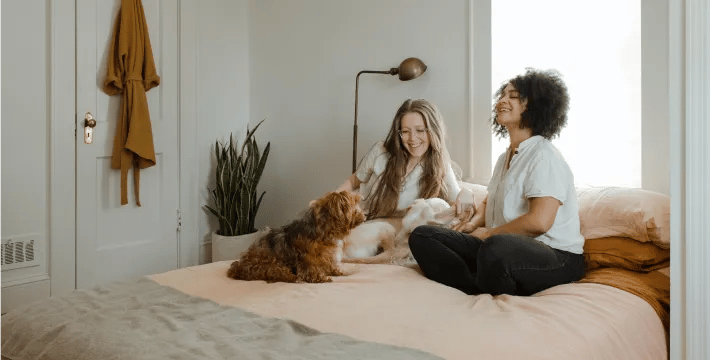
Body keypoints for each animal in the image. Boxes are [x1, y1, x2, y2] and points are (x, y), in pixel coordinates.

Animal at [228, 191, 368, 284]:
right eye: (354, 204)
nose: (365, 215)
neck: (323, 231)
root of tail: (237, 268)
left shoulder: (327, 256)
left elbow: (330, 265)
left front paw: (338, 271)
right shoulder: (306, 257)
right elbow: (310, 268)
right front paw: (319, 277)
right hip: (268, 265)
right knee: (278, 272)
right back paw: (293, 277)